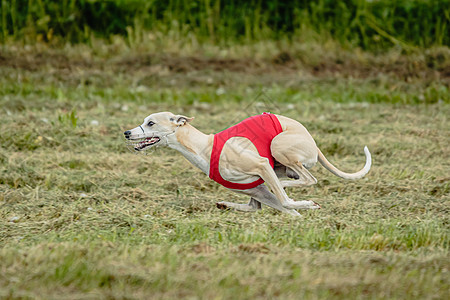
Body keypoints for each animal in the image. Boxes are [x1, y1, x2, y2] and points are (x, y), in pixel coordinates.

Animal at [124, 111, 372, 217]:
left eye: (151, 122)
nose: (127, 133)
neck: (204, 146)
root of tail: (312, 141)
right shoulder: (257, 189)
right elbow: (279, 208)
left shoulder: (261, 165)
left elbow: (287, 202)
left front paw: (308, 204)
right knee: (262, 201)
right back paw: (225, 204)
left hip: (278, 147)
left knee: (308, 179)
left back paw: (288, 188)